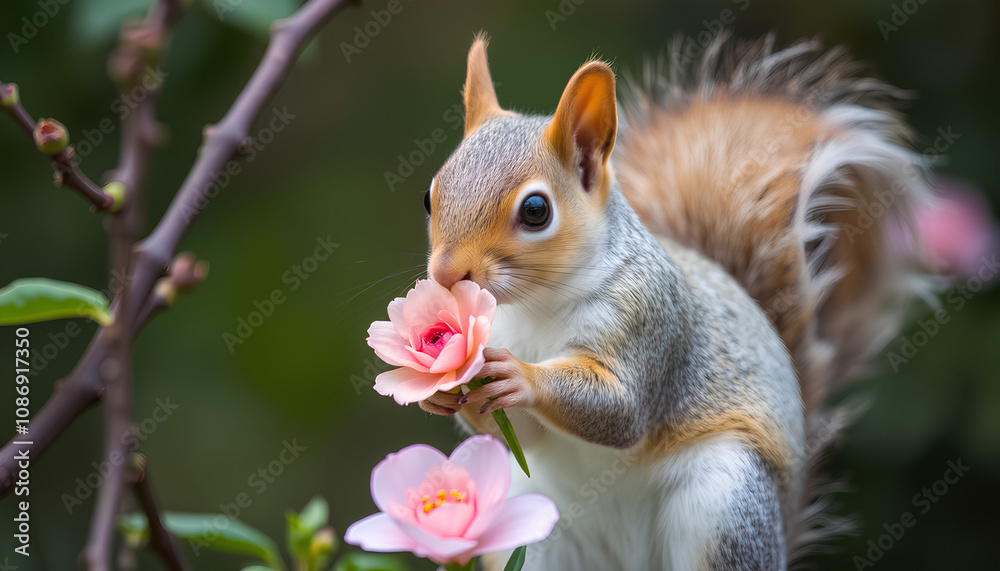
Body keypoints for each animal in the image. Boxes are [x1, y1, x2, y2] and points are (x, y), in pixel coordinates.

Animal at [416, 33, 927, 570]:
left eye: (536, 210)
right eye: (430, 196)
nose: (445, 276)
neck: (538, 306)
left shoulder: (650, 319)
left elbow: (624, 409)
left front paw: (522, 375)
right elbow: (522, 434)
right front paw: (439, 393)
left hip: (724, 503)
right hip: (533, 529)